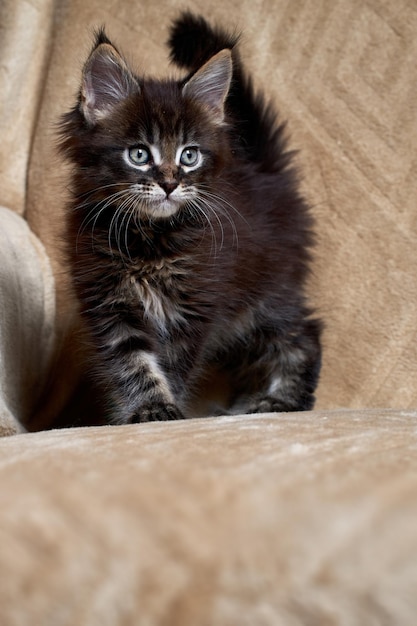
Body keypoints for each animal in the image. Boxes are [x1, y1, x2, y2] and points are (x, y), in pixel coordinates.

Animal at [58, 13, 320, 424]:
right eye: (139, 154)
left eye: (189, 156)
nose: (169, 184)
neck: (149, 238)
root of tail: (266, 172)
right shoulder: (110, 302)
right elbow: (133, 363)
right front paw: (150, 408)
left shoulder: (196, 305)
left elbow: (172, 364)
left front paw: (168, 408)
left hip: (264, 293)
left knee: (304, 336)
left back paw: (280, 401)